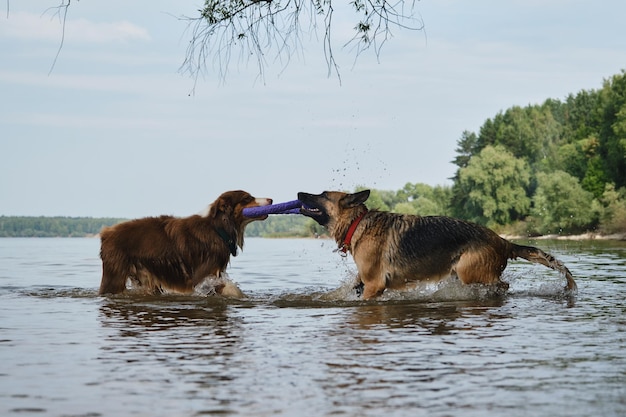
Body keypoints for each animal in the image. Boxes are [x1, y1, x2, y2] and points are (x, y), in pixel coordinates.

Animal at [98, 190, 270, 294]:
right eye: (247, 198)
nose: (271, 199)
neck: (217, 228)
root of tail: (106, 233)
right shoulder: (202, 276)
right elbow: (229, 288)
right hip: (115, 275)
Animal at [298, 188, 576, 300]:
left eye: (322, 194)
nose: (299, 194)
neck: (357, 223)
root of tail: (503, 241)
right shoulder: (364, 282)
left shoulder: (374, 286)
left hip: (468, 271)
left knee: (501, 286)